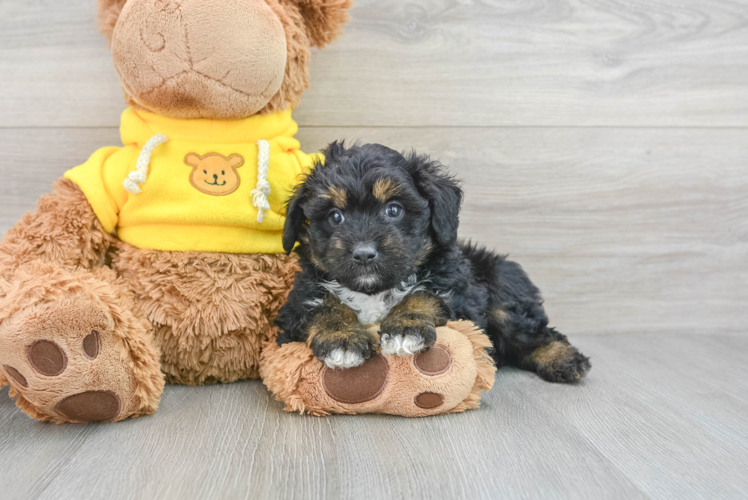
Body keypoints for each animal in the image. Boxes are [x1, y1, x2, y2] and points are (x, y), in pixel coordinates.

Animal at [274, 142, 592, 382]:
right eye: (335, 216)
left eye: (393, 210)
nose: (364, 253)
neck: (373, 291)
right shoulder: (296, 305)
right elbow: (324, 306)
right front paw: (341, 338)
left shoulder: (456, 291)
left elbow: (424, 294)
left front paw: (406, 328)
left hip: (503, 291)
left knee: (532, 331)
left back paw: (563, 359)